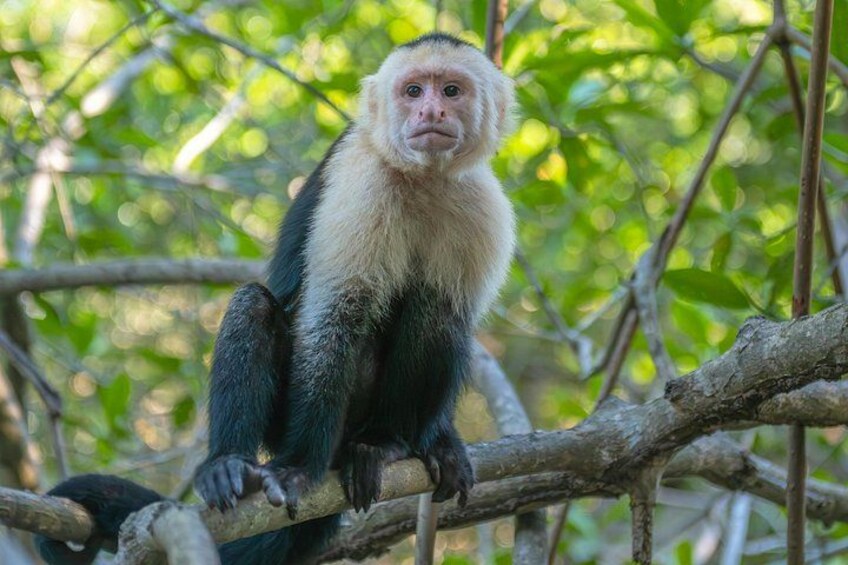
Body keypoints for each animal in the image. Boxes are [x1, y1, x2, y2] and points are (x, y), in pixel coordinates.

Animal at [35, 32, 515, 565]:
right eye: (413, 91)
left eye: (451, 90)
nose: (431, 111)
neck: (422, 177)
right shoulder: (360, 181)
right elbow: (336, 316)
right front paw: (300, 467)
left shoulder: (481, 204)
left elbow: (447, 312)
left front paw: (429, 441)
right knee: (255, 306)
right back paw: (230, 464)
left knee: (437, 314)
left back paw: (386, 443)